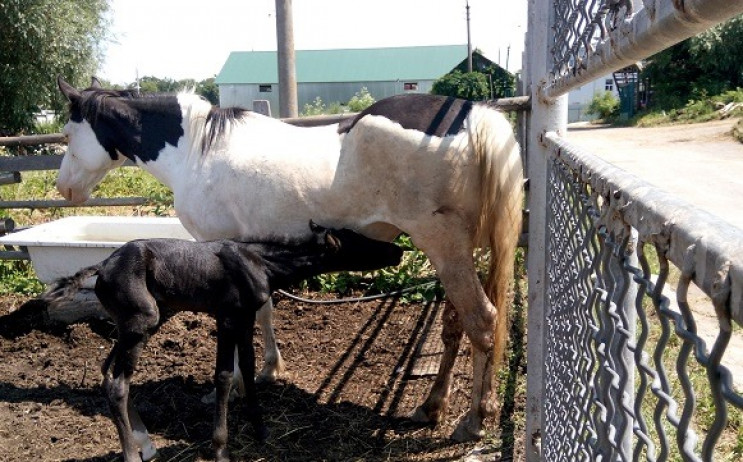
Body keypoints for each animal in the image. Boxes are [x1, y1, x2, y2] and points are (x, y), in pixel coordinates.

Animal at [45, 222, 406, 460]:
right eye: (358, 241)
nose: (399, 249)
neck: (261, 263)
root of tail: (101, 265)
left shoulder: (245, 319)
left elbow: (247, 366)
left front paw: (261, 431)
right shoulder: (228, 318)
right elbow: (224, 375)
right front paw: (220, 449)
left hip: (138, 324)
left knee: (108, 373)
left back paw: (145, 445)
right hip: (141, 321)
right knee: (118, 383)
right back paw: (132, 454)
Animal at [56, 77, 524, 442]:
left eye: (68, 134)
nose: (64, 189)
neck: (196, 150)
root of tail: (472, 115)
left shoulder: (218, 248)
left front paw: (234, 383)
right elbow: (264, 311)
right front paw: (268, 370)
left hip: (444, 248)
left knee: (482, 321)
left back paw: (473, 420)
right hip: (459, 252)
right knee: (455, 324)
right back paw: (432, 406)